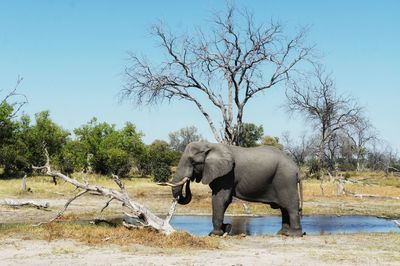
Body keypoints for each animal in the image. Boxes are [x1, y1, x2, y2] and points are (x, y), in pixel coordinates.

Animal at [169, 141, 304, 237]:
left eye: (193, 162)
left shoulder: (227, 175)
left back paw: (294, 235)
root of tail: (297, 169)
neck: (210, 145)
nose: (189, 179)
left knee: (290, 206)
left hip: (285, 179)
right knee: (283, 208)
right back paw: (282, 233)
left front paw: (214, 234)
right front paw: (226, 229)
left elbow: (220, 199)